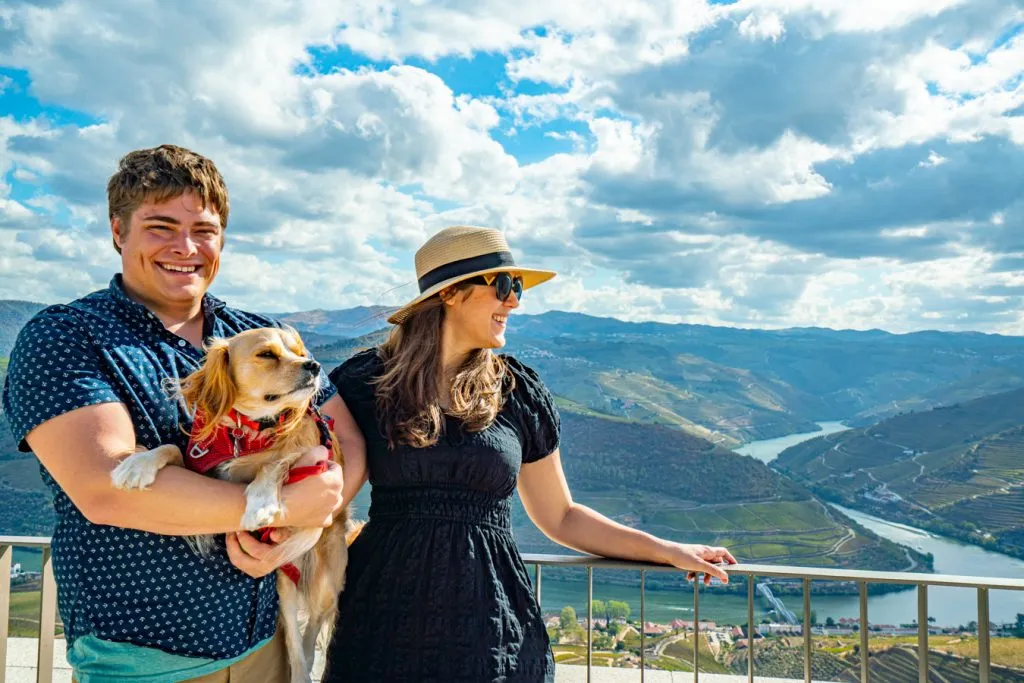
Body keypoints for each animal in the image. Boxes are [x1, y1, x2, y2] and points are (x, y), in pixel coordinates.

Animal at [110, 327, 352, 679]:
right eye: (267, 354)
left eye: (298, 351)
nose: (314, 365)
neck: (247, 433)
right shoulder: (205, 474)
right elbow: (172, 448)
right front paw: (138, 463)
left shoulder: (312, 461)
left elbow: (275, 463)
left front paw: (261, 502)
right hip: (283, 586)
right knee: (295, 643)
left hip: (323, 580)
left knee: (312, 630)